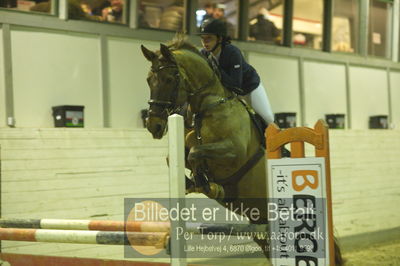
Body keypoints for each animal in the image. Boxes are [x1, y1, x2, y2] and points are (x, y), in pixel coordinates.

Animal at [141, 36, 344, 264]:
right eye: (149, 80)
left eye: (169, 79)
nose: (154, 125)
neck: (206, 107)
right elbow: (177, 156)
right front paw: (192, 182)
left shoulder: (233, 151)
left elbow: (196, 152)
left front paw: (209, 185)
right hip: (263, 231)